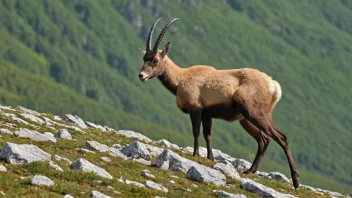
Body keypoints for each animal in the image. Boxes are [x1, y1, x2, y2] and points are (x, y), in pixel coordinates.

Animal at [138, 17, 300, 189]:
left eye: (155, 60)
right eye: (144, 59)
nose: (141, 75)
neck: (182, 77)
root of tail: (273, 86)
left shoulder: (196, 109)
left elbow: (196, 131)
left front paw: (195, 154)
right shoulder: (206, 114)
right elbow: (207, 134)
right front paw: (210, 157)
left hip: (255, 114)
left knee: (281, 138)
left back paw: (295, 181)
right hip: (246, 120)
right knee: (264, 139)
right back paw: (250, 170)